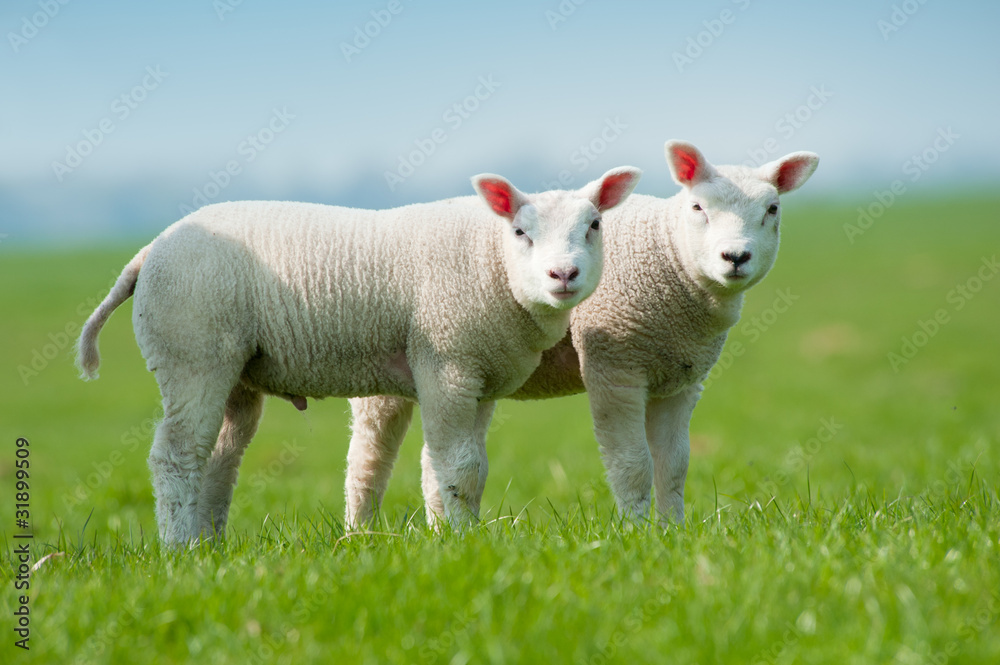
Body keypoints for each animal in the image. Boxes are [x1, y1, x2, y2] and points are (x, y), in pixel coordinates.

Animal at [77, 167, 642, 545]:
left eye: (594, 226)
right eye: (521, 232)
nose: (563, 275)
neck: (491, 259)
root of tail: (148, 251)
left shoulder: (479, 378)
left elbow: (463, 467)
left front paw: (453, 534)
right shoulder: (449, 363)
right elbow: (457, 467)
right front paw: (462, 542)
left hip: (232, 372)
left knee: (217, 457)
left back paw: (208, 544)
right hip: (191, 355)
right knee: (175, 456)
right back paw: (179, 549)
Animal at [346, 141, 818, 527]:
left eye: (773, 210)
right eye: (698, 208)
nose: (735, 257)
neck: (669, 256)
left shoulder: (681, 380)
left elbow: (674, 465)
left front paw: (674, 531)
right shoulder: (615, 365)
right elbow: (631, 463)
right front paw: (637, 534)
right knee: (368, 462)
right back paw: (361, 535)